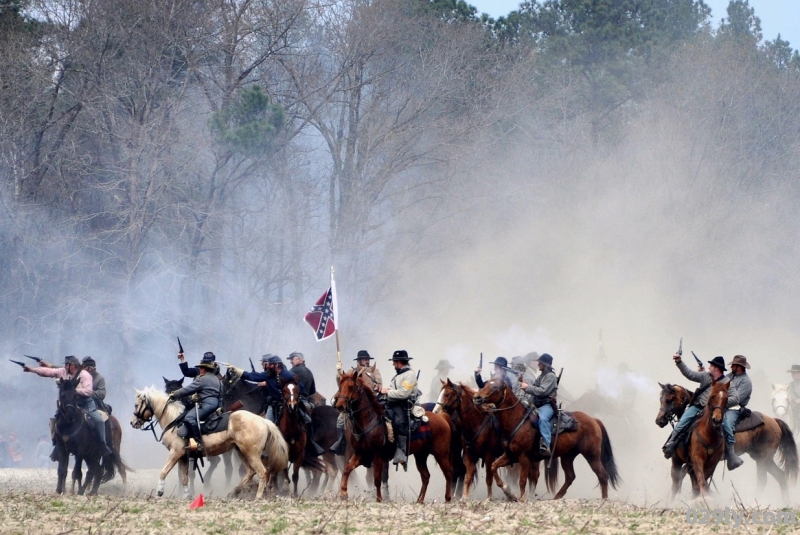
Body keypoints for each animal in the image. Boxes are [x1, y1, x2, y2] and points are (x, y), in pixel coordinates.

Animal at [132, 388, 290, 500]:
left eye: (136, 404)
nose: (133, 423)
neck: (174, 421)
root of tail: (263, 420)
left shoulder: (175, 453)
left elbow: (164, 471)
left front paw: (159, 491)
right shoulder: (183, 456)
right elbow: (184, 478)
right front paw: (186, 496)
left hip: (251, 454)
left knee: (262, 472)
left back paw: (257, 497)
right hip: (241, 452)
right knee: (251, 472)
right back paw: (233, 492)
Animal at [332, 370, 454, 504]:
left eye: (351, 387)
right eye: (340, 386)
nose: (339, 405)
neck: (369, 421)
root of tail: (442, 417)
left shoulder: (378, 455)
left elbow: (377, 479)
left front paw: (379, 499)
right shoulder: (360, 453)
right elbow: (347, 469)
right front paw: (343, 494)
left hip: (441, 453)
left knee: (448, 473)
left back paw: (448, 499)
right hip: (421, 455)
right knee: (426, 476)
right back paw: (419, 500)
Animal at [476, 376, 620, 502]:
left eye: (495, 387)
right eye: (486, 384)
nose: (477, 398)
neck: (517, 420)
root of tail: (593, 420)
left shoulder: (524, 458)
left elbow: (522, 480)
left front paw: (522, 498)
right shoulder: (510, 456)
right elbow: (494, 467)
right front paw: (508, 492)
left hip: (592, 455)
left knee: (602, 475)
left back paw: (604, 499)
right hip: (567, 456)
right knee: (570, 477)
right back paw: (556, 497)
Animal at [660, 382, 796, 502]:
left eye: (669, 399)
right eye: (661, 398)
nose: (659, 420)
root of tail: (774, 420)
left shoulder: (685, 461)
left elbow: (686, 481)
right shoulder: (690, 463)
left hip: (763, 459)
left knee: (762, 480)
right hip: (762, 458)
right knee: (780, 476)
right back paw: (786, 502)